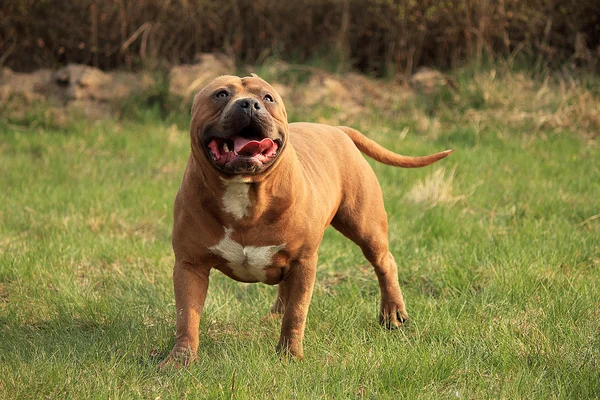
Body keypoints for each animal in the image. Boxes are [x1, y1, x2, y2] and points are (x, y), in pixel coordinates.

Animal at [157, 73, 452, 368]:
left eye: (267, 98)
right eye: (220, 94)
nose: (249, 104)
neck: (245, 190)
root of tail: (337, 129)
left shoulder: (303, 262)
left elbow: (296, 313)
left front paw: (289, 355)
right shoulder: (190, 265)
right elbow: (187, 316)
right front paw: (180, 360)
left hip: (365, 227)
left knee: (384, 263)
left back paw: (392, 313)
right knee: (283, 291)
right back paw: (273, 316)